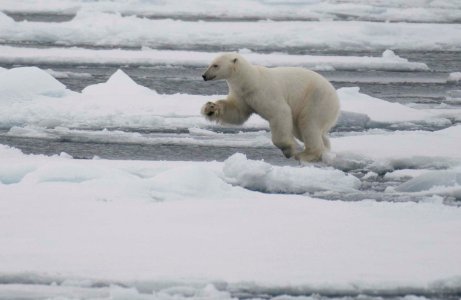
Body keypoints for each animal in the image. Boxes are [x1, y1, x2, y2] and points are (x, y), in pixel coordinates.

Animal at [200, 53, 338, 162]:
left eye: (215, 65)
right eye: (211, 63)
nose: (204, 76)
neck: (251, 81)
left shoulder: (265, 92)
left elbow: (280, 112)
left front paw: (289, 149)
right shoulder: (243, 96)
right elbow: (236, 112)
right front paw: (210, 108)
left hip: (316, 99)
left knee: (309, 123)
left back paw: (305, 155)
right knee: (303, 129)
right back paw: (325, 148)